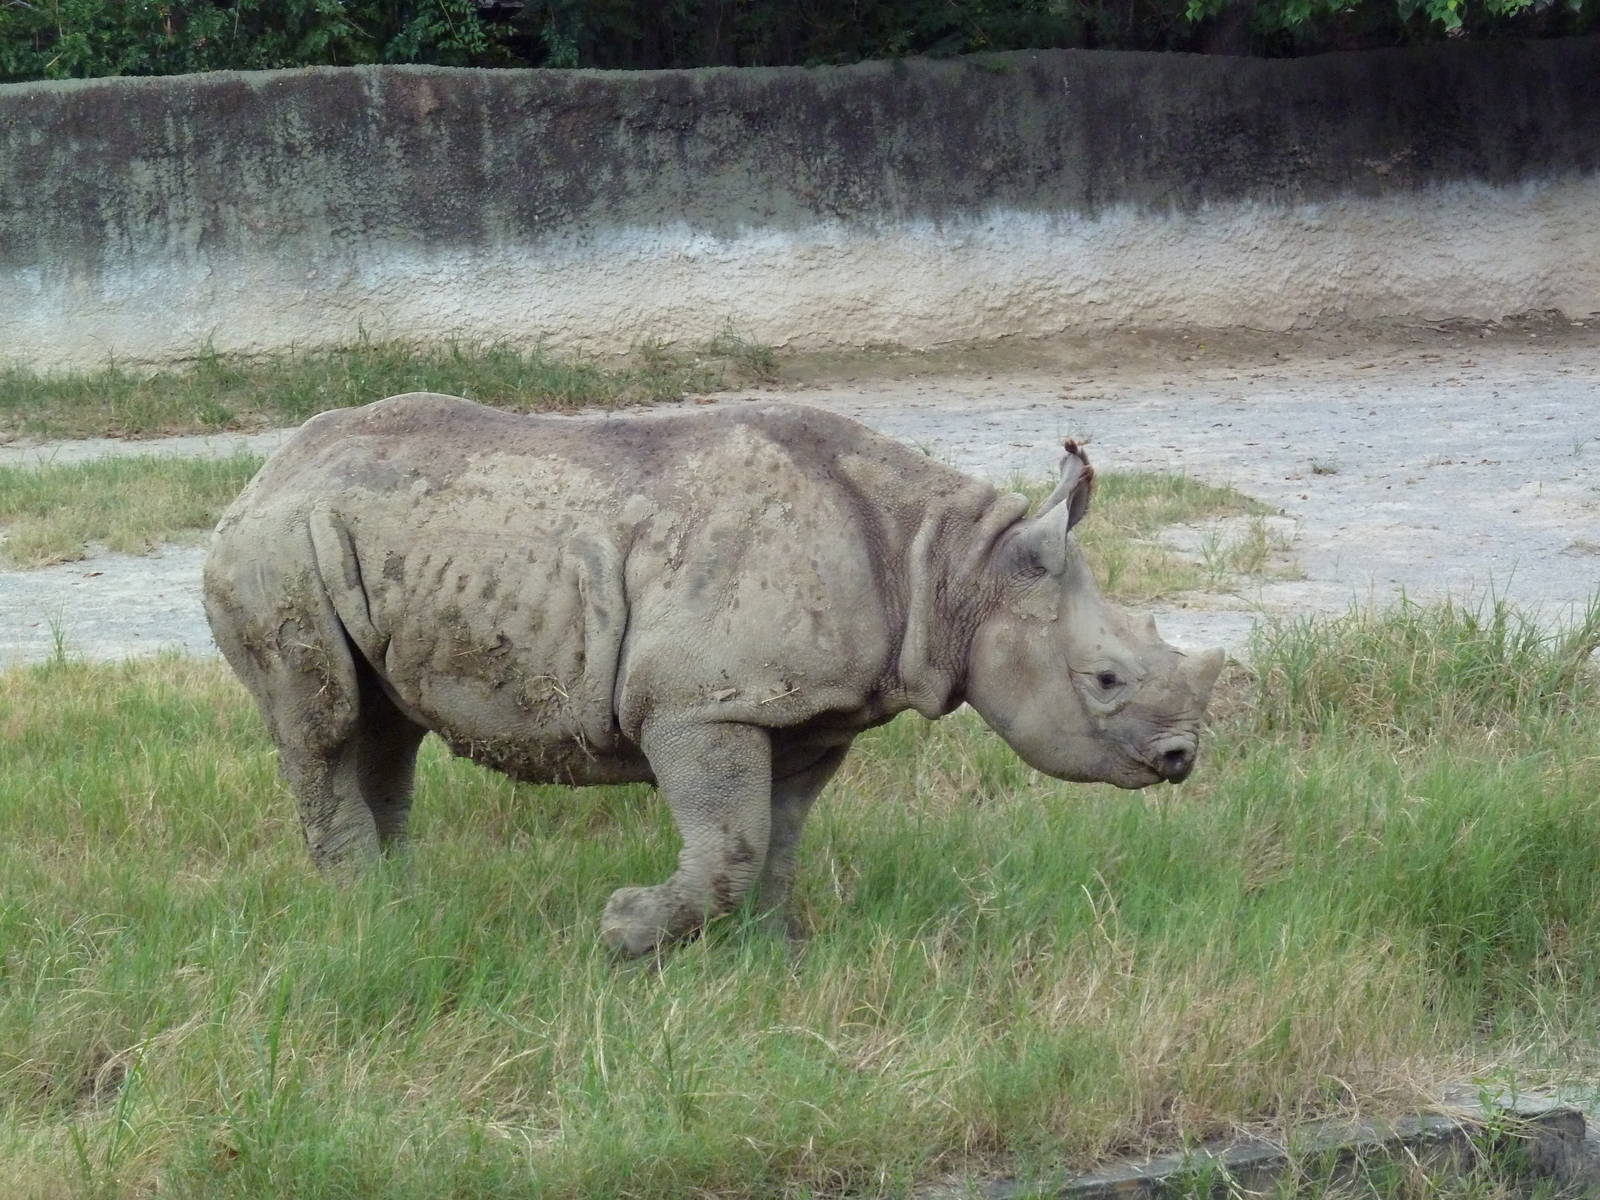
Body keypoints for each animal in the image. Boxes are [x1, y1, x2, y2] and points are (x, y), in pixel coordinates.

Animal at [203, 394, 1224, 955]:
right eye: (1105, 680)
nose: (1182, 758)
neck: (953, 570)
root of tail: (258, 478)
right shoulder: (701, 707)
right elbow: (731, 841)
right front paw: (624, 934)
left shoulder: (808, 714)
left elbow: (776, 838)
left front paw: (772, 954)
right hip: (278, 547)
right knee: (327, 724)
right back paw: (364, 909)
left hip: (354, 540)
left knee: (386, 727)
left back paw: (406, 907)